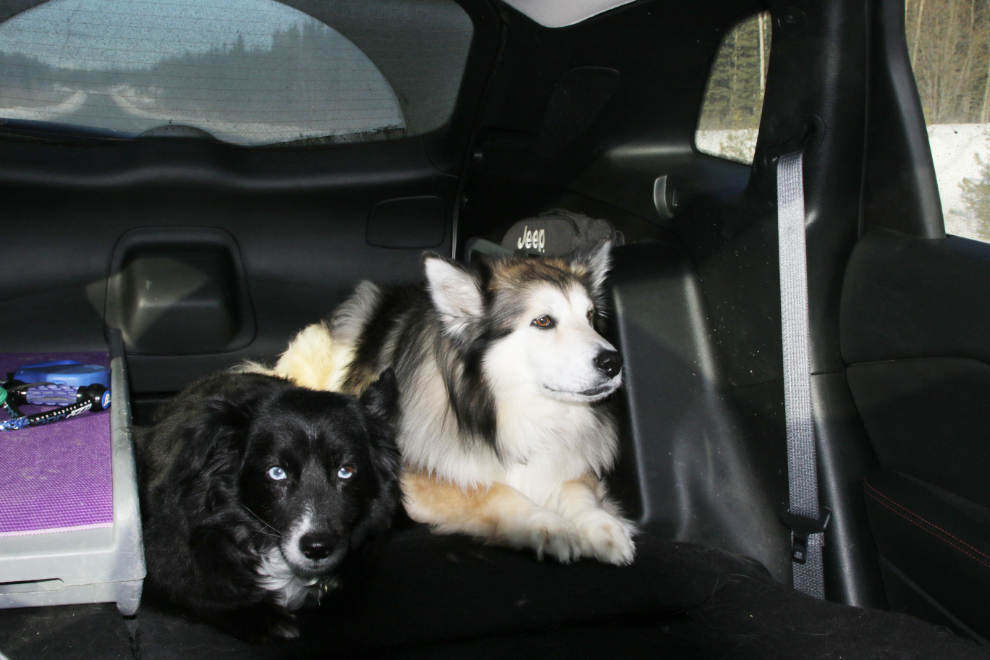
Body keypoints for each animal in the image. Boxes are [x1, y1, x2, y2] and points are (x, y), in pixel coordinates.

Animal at [262, 245, 636, 564]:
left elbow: (576, 490)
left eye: (589, 317)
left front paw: (601, 525)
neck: (505, 406)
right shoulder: (412, 476)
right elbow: (494, 492)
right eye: (543, 321)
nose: (614, 362)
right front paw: (547, 525)